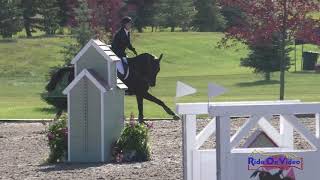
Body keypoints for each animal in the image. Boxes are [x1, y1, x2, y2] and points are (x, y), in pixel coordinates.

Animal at [45, 52, 180, 122]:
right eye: (152, 68)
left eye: (158, 70)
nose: (152, 84)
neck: (138, 69)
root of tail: (72, 68)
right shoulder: (142, 92)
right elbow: (159, 101)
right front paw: (173, 113)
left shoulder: (140, 93)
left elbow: (142, 106)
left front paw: (141, 120)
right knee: (65, 103)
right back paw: (57, 119)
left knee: (64, 103)